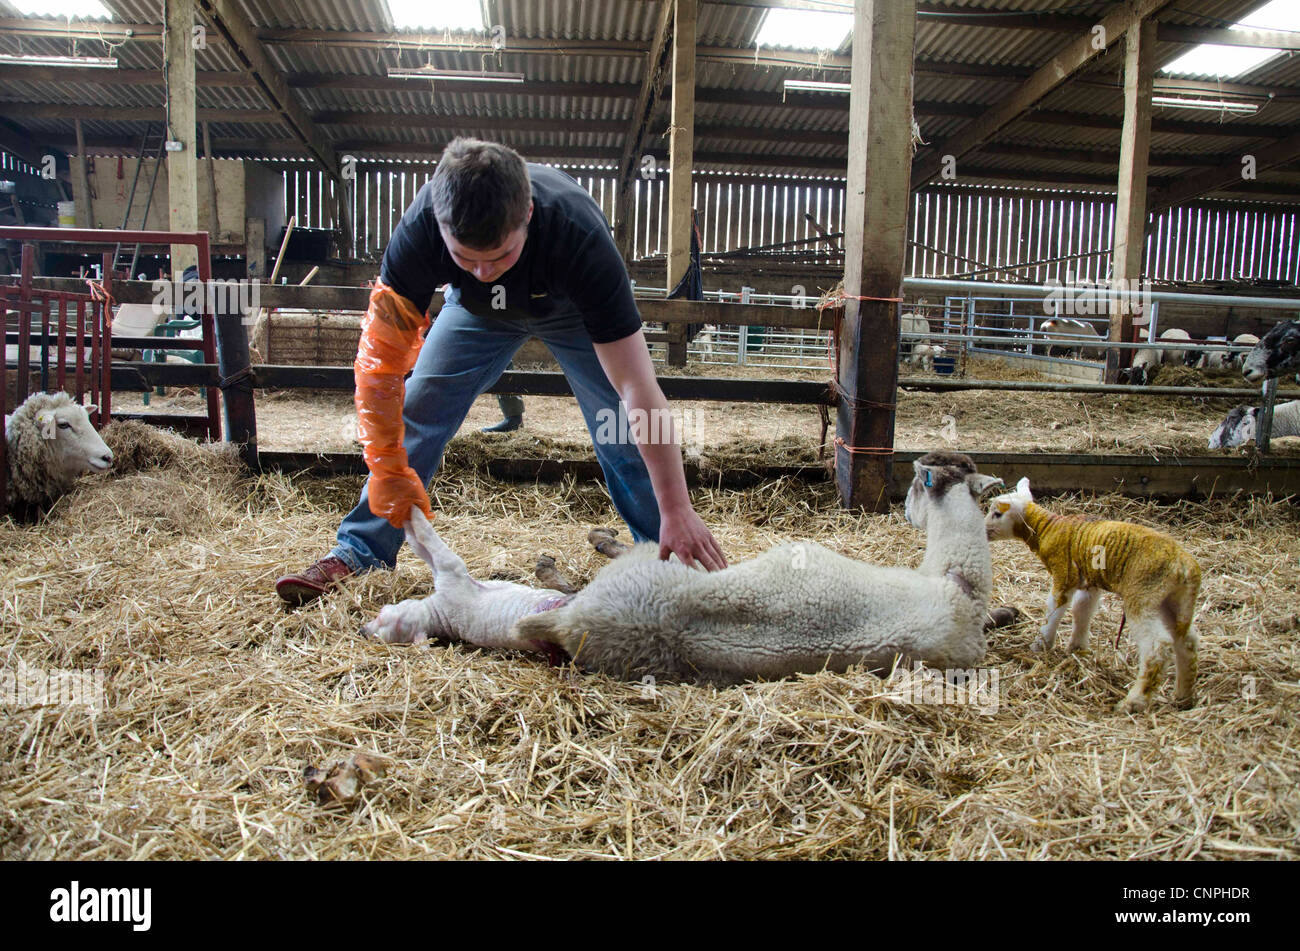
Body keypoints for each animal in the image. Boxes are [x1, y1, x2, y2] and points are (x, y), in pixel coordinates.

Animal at [365, 452, 1006, 685]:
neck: (959, 581)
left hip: (650, 571)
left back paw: (580, 552)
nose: (903, 506)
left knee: (596, 570)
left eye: (917, 483)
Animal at [984, 477, 1201, 714]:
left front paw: (1041, 644)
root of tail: (1185, 568)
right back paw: (1183, 695)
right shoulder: (1089, 582)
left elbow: (1055, 609)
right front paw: (1077, 648)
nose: (983, 530)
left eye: (997, 513)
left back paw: (1134, 701)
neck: (1048, 528)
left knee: (1157, 647)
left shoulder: (1064, 574)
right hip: (1174, 602)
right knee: (1187, 642)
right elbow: (1082, 611)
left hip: (1144, 596)